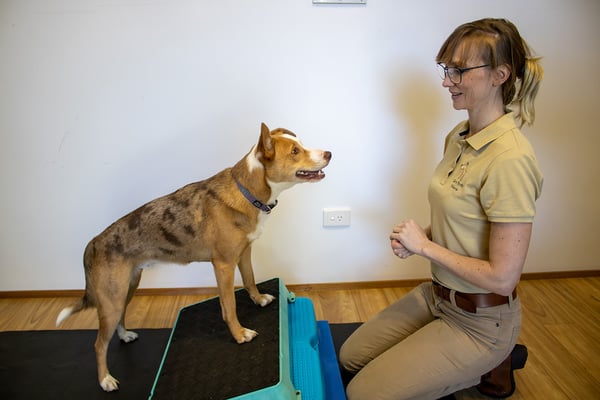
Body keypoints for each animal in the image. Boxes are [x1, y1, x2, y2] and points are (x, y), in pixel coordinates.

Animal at [56, 122, 332, 390]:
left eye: (301, 144)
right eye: (295, 151)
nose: (329, 154)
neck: (247, 190)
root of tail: (94, 242)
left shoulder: (244, 253)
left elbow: (250, 280)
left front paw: (258, 299)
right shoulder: (223, 265)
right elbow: (229, 304)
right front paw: (239, 334)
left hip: (126, 288)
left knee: (119, 320)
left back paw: (124, 335)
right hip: (111, 298)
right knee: (98, 344)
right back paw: (105, 379)